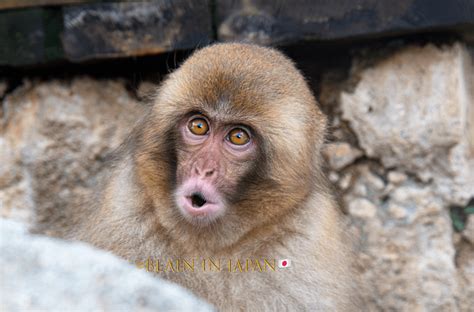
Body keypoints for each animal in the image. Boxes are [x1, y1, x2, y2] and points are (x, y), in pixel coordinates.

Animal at [33, 43, 362, 310]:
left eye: (238, 136)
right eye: (199, 126)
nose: (203, 168)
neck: (209, 247)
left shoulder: (305, 246)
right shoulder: (124, 218)